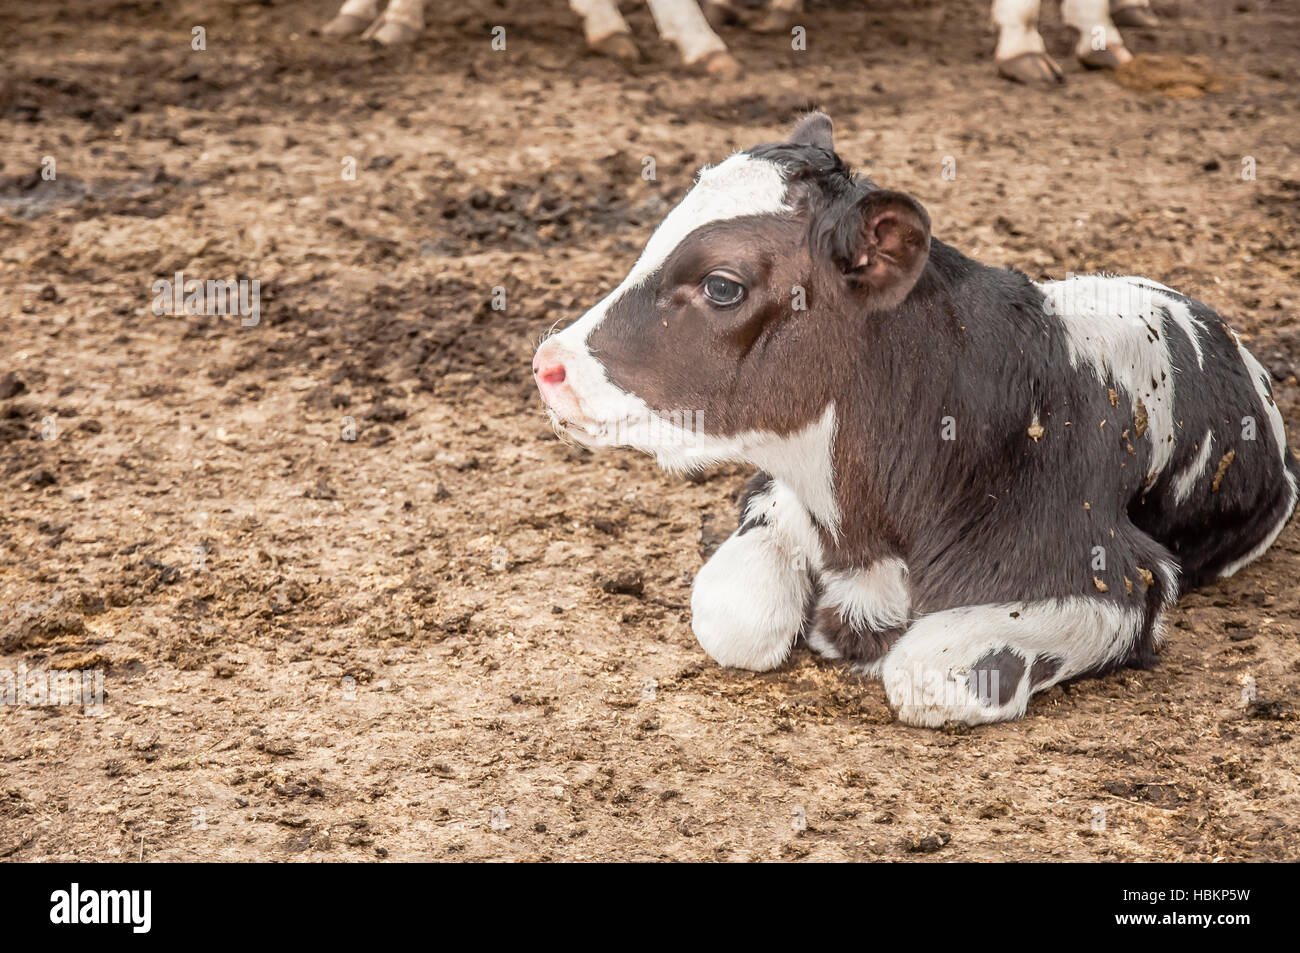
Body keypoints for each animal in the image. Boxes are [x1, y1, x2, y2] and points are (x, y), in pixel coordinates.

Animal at [531, 112, 1298, 727]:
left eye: (722, 285)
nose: (549, 365)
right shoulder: (777, 493)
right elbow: (733, 614)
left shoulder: (1114, 575)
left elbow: (928, 670)